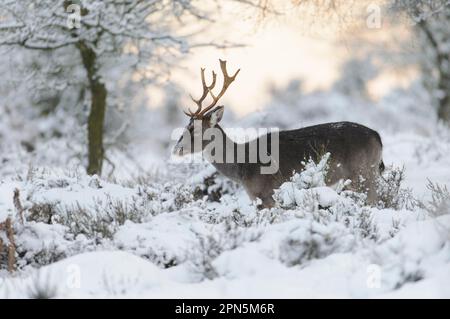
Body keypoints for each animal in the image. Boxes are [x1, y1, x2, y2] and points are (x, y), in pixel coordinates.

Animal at [172, 60, 384, 208]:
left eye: (193, 128)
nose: (176, 149)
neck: (242, 166)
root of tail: (377, 137)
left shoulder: (265, 194)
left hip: (363, 172)